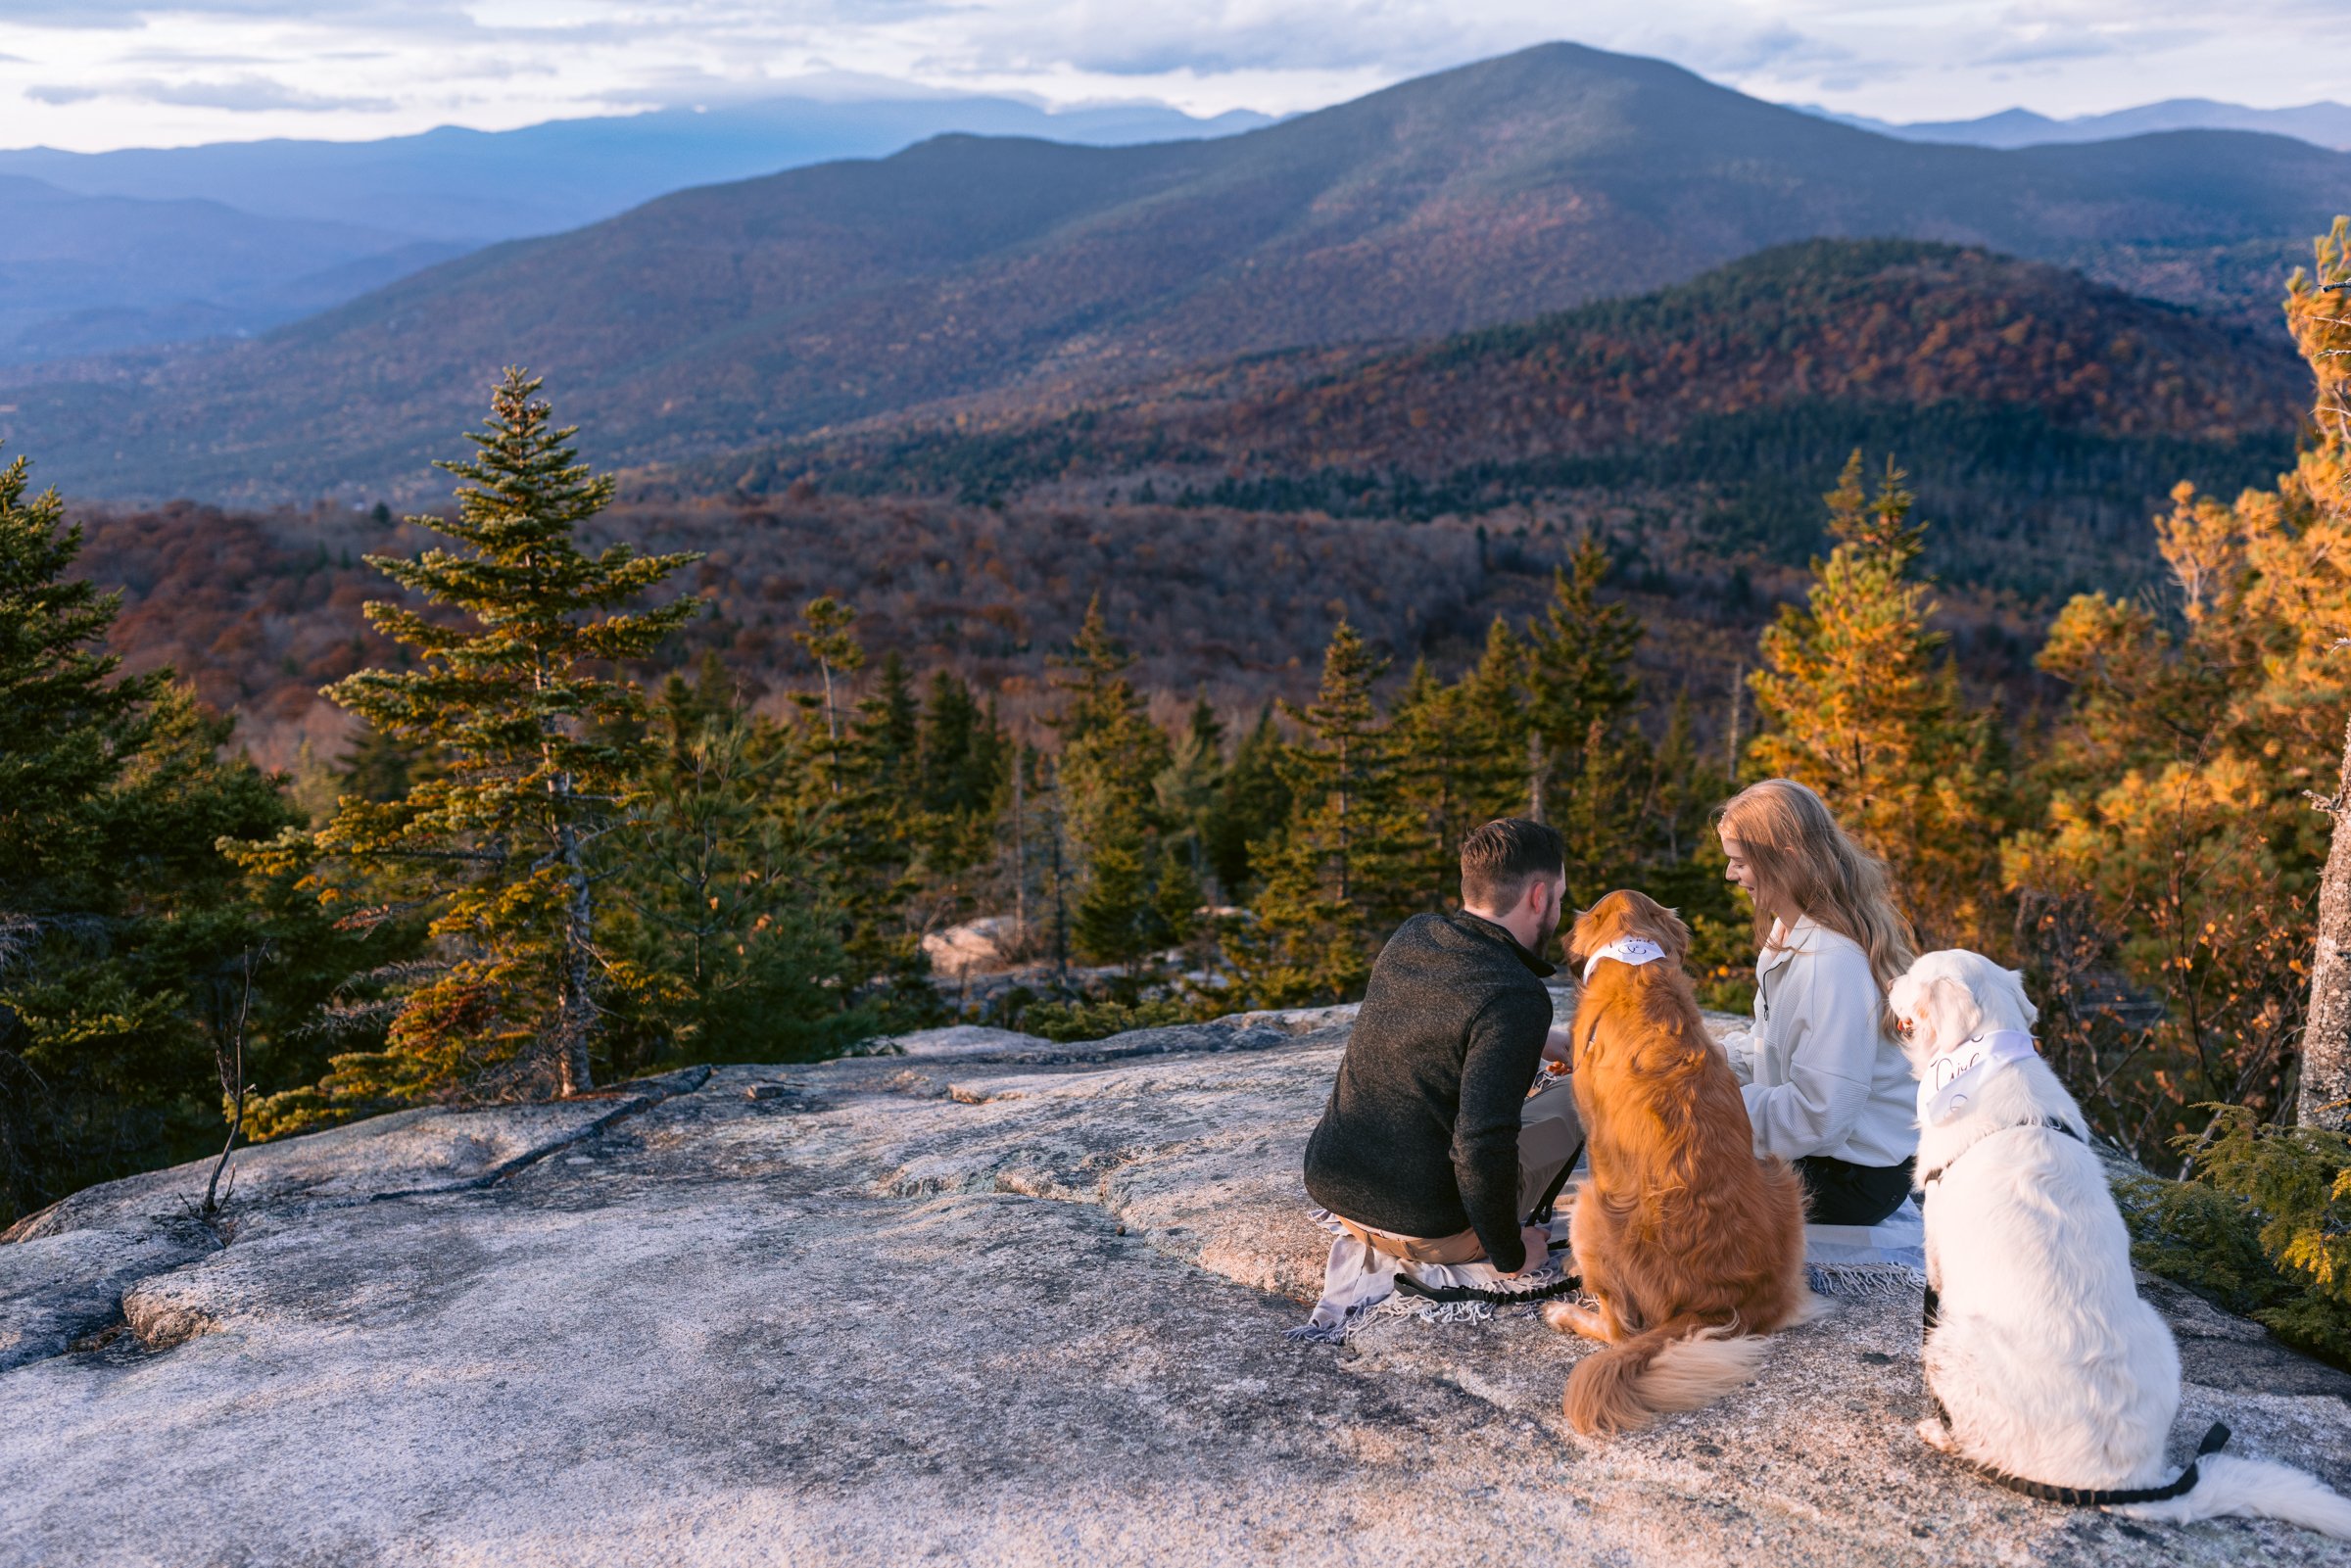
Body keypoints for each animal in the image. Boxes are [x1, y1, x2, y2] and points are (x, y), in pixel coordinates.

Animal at [1552, 888, 1805, 1429]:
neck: (1634, 960)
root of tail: (1722, 1303)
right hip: (1782, 1176)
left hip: (1593, 1207)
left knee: (1620, 1330)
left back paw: (1566, 1311)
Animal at [1890, 949, 2351, 1542]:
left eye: (1913, 974)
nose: (1888, 981)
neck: (1986, 1057)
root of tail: (2122, 1481)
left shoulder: (1938, 1254)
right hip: (2156, 1327)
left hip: (1953, 1340)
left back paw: (1942, 1433)